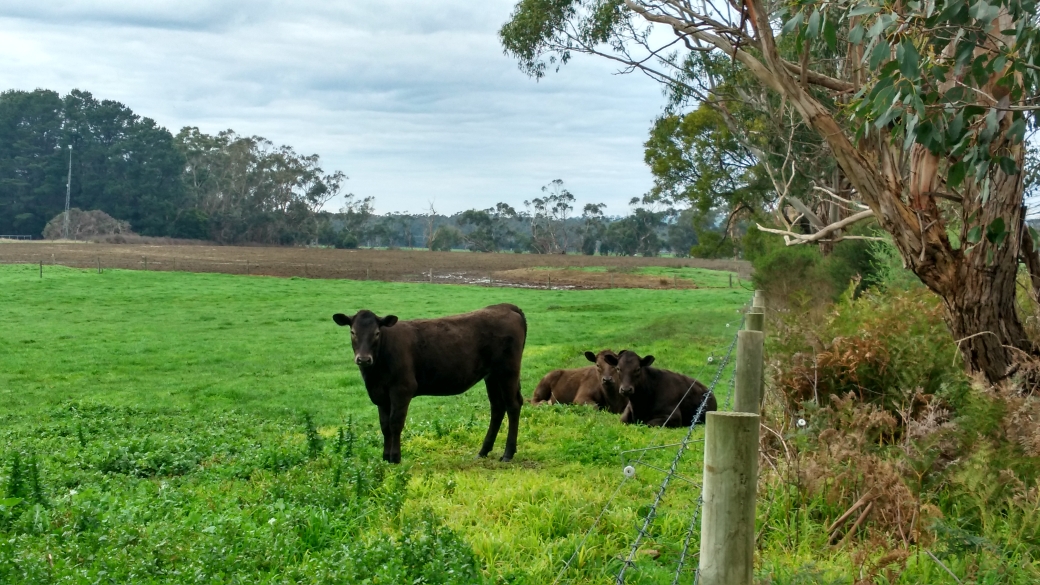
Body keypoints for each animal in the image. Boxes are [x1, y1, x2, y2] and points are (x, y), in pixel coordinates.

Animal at [332, 301, 528, 462]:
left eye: (377, 333)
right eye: (353, 332)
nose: (363, 359)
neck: (374, 375)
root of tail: (504, 306)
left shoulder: (402, 390)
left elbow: (395, 423)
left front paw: (395, 458)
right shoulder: (381, 395)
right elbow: (385, 425)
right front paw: (385, 457)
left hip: (507, 371)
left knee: (513, 405)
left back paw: (508, 453)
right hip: (492, 375)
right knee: (497, 407)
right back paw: (483, 451)